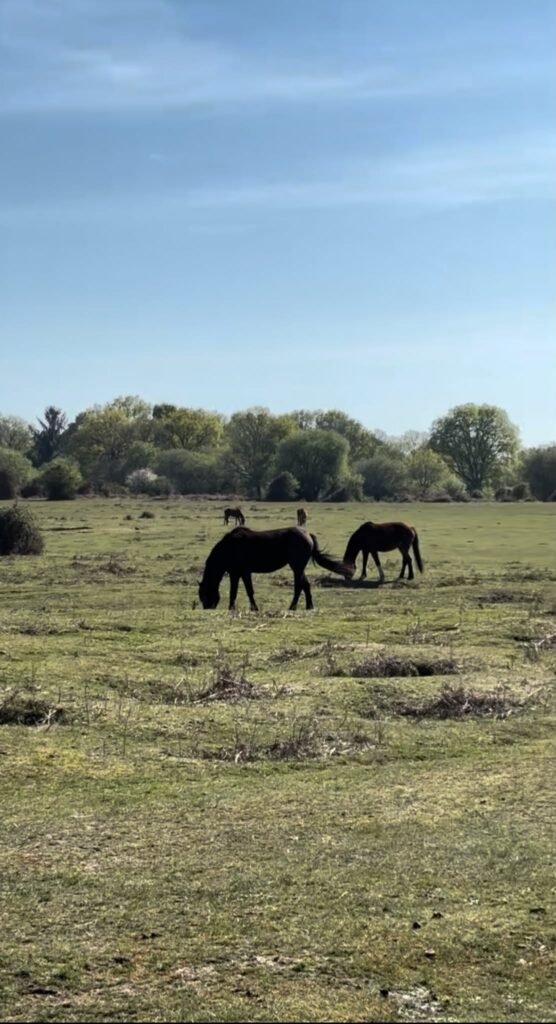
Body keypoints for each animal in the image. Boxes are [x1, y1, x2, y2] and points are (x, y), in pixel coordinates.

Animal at [199, 526, 354, 611]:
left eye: (204, 595)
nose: (207, 608)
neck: (229, 548)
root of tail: (308, 535)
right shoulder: (236, 574)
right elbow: (236, 592)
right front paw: (235, 608)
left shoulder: (242, 572)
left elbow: (246, 591)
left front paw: (252, 608)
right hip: (299, 567)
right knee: (306, 585)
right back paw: (309, 606)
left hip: (296, 567)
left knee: (299, 586)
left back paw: (292, 607)